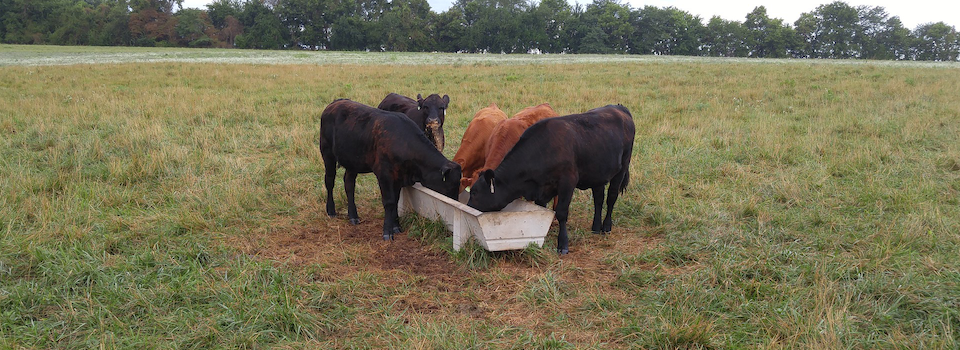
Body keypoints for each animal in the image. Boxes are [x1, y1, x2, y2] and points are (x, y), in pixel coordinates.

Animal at [318, 98, 462, 241]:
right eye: (450, 186)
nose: (454, 202)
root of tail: (335, 102)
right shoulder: (384, 175)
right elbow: (389, 202)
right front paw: (387, 231)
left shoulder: (398, 177)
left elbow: (395, 201)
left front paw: (396, 226)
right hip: (327, 154)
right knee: (329, 181)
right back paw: (331, 210)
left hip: (353, 162)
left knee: (349, 185)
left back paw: (353, 215)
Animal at [466, 104, 632, 254]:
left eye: (474, 193)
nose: (468, 207)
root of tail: (619, 108)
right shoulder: (542, 190)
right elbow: (542, 211)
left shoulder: (567, 183)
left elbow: (561, 212)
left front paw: (563, 244)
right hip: (598, 175)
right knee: (598, 199)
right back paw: (596, 227)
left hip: (621, 169)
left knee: (611, 197)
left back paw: (606, 227)